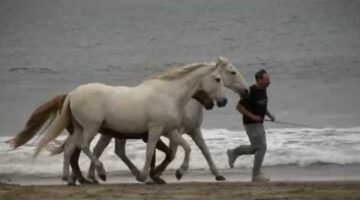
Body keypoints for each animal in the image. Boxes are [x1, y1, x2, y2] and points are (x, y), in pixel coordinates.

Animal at [33, 57, 231, 183]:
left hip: (80, 128)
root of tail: (72, 94)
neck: (169, 95)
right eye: (217, 79)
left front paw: (179, 173)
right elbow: (150, 152)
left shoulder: (168, 130)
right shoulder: (155, 129)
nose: (223, 102)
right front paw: (145, 177)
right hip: (91, 127)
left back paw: (69, 178)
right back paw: (100, 173)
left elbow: (186, 147)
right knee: (84, 147)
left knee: (69, 149)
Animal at [85, 56, 249, 183]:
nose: (246, 91)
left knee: (104, 150)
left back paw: (95, 175)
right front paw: (160, 172)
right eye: (232, 72)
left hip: (111, 133)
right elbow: (172, 152)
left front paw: (218, 174)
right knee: (106, 150)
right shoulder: (174, 130)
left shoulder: (194, 130)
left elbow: (204, 150)